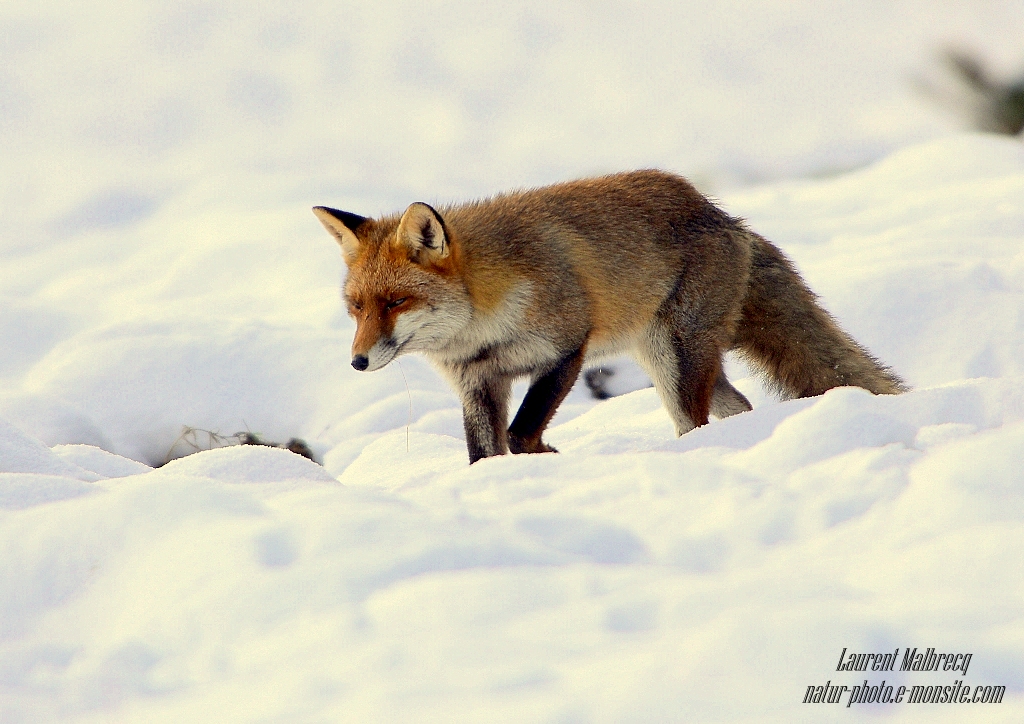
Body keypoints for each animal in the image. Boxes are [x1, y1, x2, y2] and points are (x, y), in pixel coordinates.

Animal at [311, 171, 905, 464]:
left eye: (395, 303)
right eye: (356, 308)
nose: (357, 362)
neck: (482, 324)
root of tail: (723, 215)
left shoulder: (565, 349)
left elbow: (522, 434)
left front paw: (545, 458)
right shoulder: (478, 380)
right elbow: (484, 454)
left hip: (675, 359)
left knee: (695, 421)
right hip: (674, 362)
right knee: (737, 406)